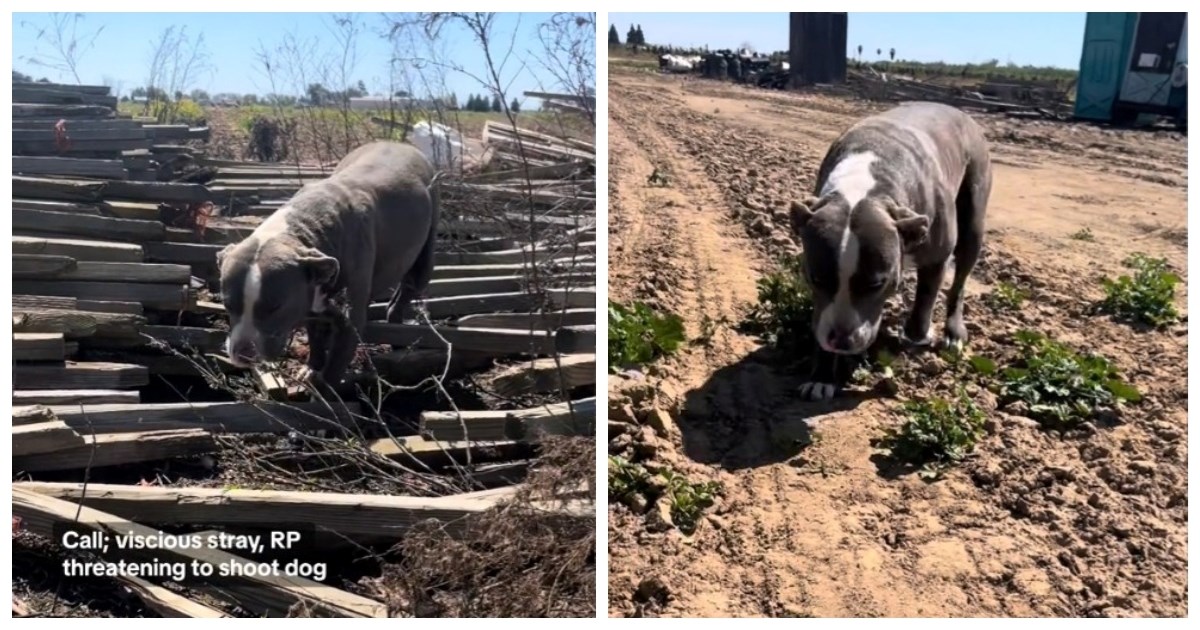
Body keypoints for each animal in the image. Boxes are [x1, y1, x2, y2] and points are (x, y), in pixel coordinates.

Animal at [218, 139, 439, 384]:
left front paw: (324, 387)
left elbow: (334, 367)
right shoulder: (309, 302)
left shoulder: (349, 325)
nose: (242, 353)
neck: (304, 228)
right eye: (227, 305)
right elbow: (315, 337)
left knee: (409, 287)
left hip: (425, 251)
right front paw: (312, 367)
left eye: (275, 307)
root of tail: (400, 144)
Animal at [792, 101, 988, 400]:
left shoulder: (936, 257)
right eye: (816, 279)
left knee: (960, 279)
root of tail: (957, 110)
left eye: (876, 284)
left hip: (973, 218)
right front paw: (822, 376)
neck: (863, 186)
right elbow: (821, 318)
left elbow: (925, 301)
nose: (842, 340)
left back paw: (953, 332)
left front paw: (917, 336)